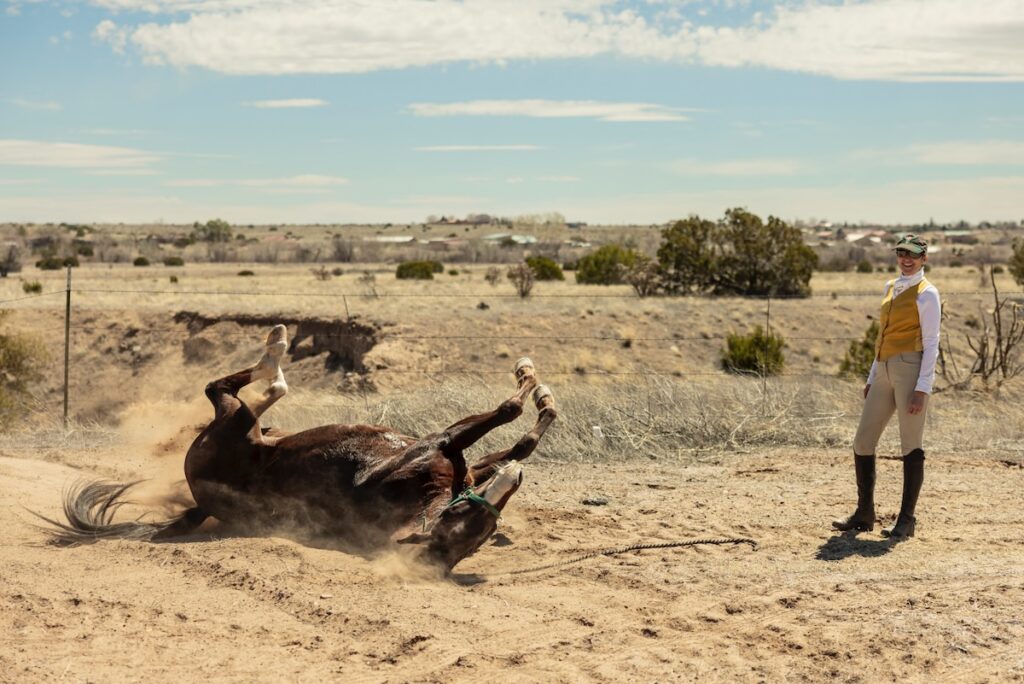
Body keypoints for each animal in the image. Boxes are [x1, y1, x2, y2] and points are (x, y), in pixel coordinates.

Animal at [44, 325, 561, 573]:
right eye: (471, 517)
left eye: (483, 527)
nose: (514, 482)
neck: (416, 494)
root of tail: (200, 501)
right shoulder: (449, 449)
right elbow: (516, 427)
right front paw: (537, 387)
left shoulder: (449, 451)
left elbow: (514, 425)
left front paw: (532, 383)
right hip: (238, 425)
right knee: (240, 392)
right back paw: (276, 351)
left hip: (230, 425)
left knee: (230, 390)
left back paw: (275, 350)